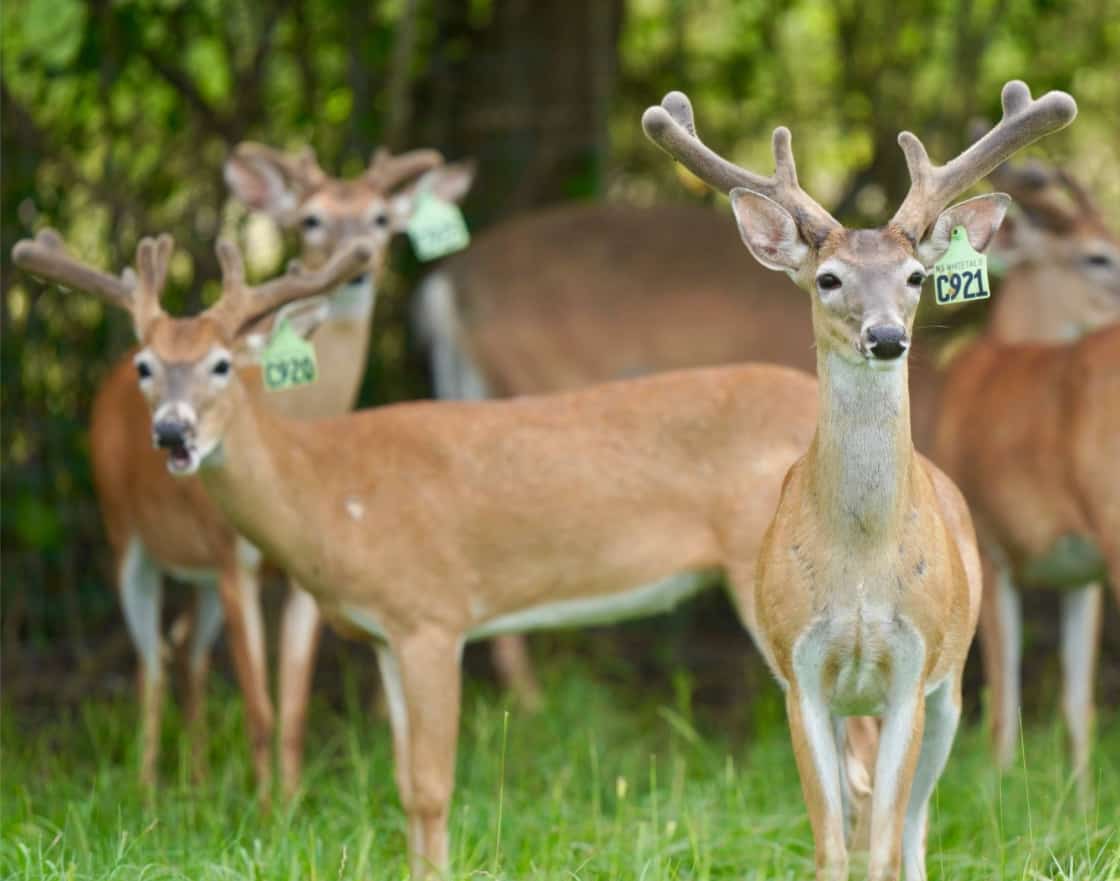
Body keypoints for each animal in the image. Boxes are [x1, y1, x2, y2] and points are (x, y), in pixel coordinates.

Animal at [14, 227, 827, 878]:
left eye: (220, 364)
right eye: (145, 367)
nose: (172, 434)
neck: (329, 490)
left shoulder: (432, 614)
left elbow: (434, 787)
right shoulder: (382, 633)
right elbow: (405, 785)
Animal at [80, 145, 474, 799]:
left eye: (381, 220)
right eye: (311, 220)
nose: (357, 268)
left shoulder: (302, 569)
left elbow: (292, 706)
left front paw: (290, 801)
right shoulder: (231, 554)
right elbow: (259, 706)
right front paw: (264, 808)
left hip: (197, 574)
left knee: (185, 648)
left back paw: (198, 779)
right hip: (123, 536)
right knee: (150, 659)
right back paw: (148, 789)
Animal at [642, 79, 1076, 880]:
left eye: (915, 277)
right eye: (828, 277)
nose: (886, 336)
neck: (862, 568)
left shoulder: (913, 665)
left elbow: (884, 837)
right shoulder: (798, 668)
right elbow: (833, 842)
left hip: (953, 685)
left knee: (913, 824)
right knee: (865, 802)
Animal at [935, 157, 1120, 782]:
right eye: (1097, 256)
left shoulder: (988, 542)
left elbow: (1000, 699)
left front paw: (995, 790)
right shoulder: (1076, 569)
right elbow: (1076, 703)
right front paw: (1078, 796)